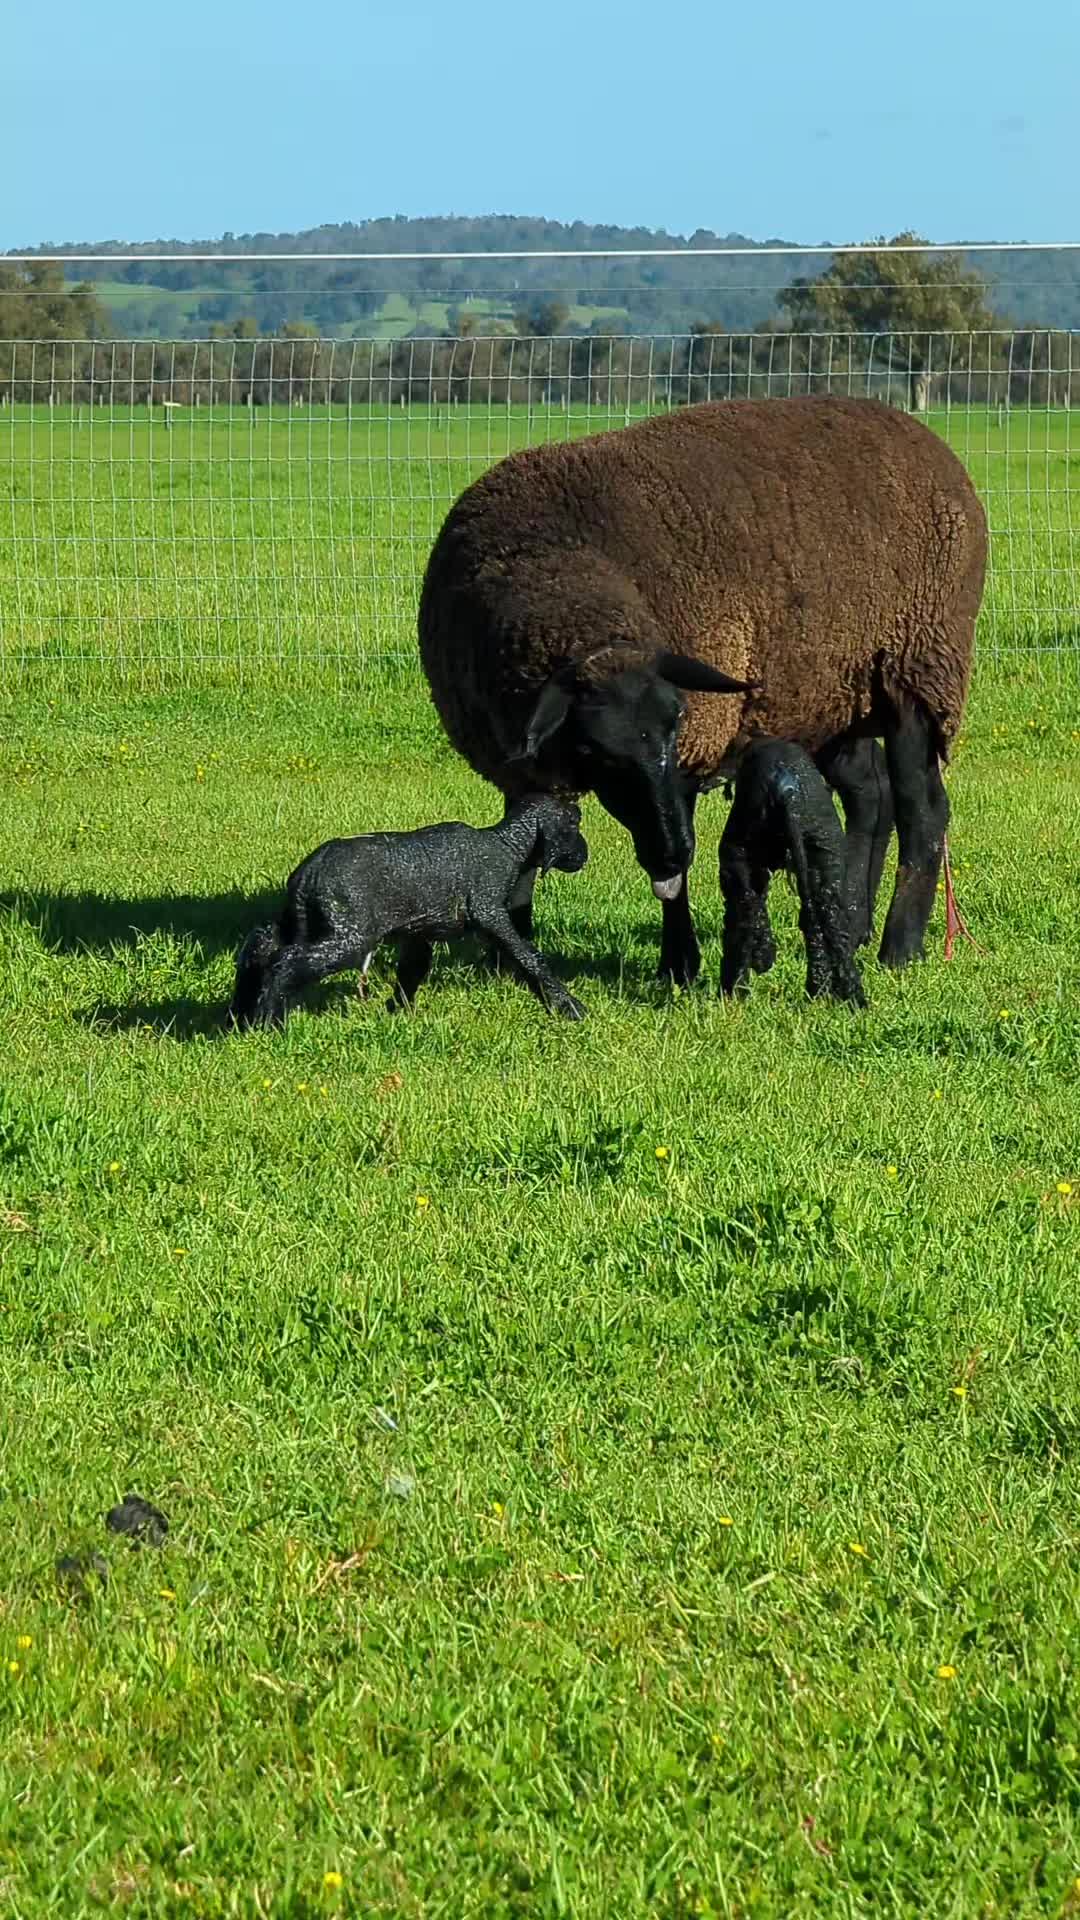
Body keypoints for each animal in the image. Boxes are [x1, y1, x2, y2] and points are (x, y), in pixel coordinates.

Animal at [228, 793, 589, 1029]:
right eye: (574, 822)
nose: (585, 854)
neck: (506, 845)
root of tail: (307, 873)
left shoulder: (419, 931)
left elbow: (412, 971)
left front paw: (399, 1013)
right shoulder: (489, 910)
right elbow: (528, 956)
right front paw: (569, 1007)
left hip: (303, 920)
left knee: (259, 943)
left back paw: (241, 1017)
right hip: (349, 933)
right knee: (285, 960)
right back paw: (269, 1023)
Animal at [718, 739, 866, 1006]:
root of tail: (785, 790)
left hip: (738, 855)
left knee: (742, 916)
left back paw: (734, 991)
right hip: (824, 857)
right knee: (829, 926)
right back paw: (845, 997)